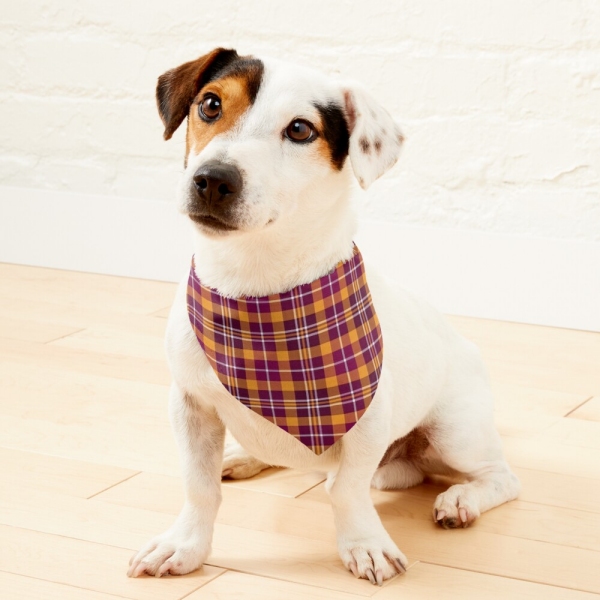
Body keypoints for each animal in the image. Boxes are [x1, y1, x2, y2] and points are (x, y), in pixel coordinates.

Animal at [127, 48, 520, 584]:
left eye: (299, 130)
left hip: (456, 432)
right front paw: (185, 545)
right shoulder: (190, 405)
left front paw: (364, 544)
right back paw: (243, 456)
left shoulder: (367, 420)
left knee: (500, 477)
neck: (255, 286)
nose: (213, 179)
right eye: (210, 104)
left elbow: (347, 490)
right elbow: (199, 486)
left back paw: (461, 499)